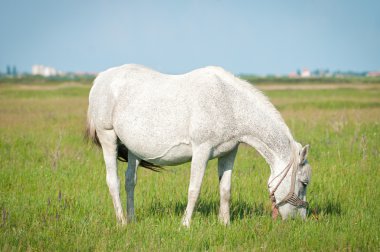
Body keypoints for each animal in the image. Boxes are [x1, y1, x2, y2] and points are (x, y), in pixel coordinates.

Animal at [86, 64, 312, 227]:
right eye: (304, 183)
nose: (300, 220)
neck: (229, 102)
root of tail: (100, 79)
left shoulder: (229, 152)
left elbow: (225, 189)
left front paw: (225, 224)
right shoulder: (201, 150)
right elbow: (194, 189)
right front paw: (185, 225)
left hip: (133, 149)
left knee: (129, 181)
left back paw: (132, 219)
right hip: (108, 137)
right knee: (113, 181)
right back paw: (122, 222)